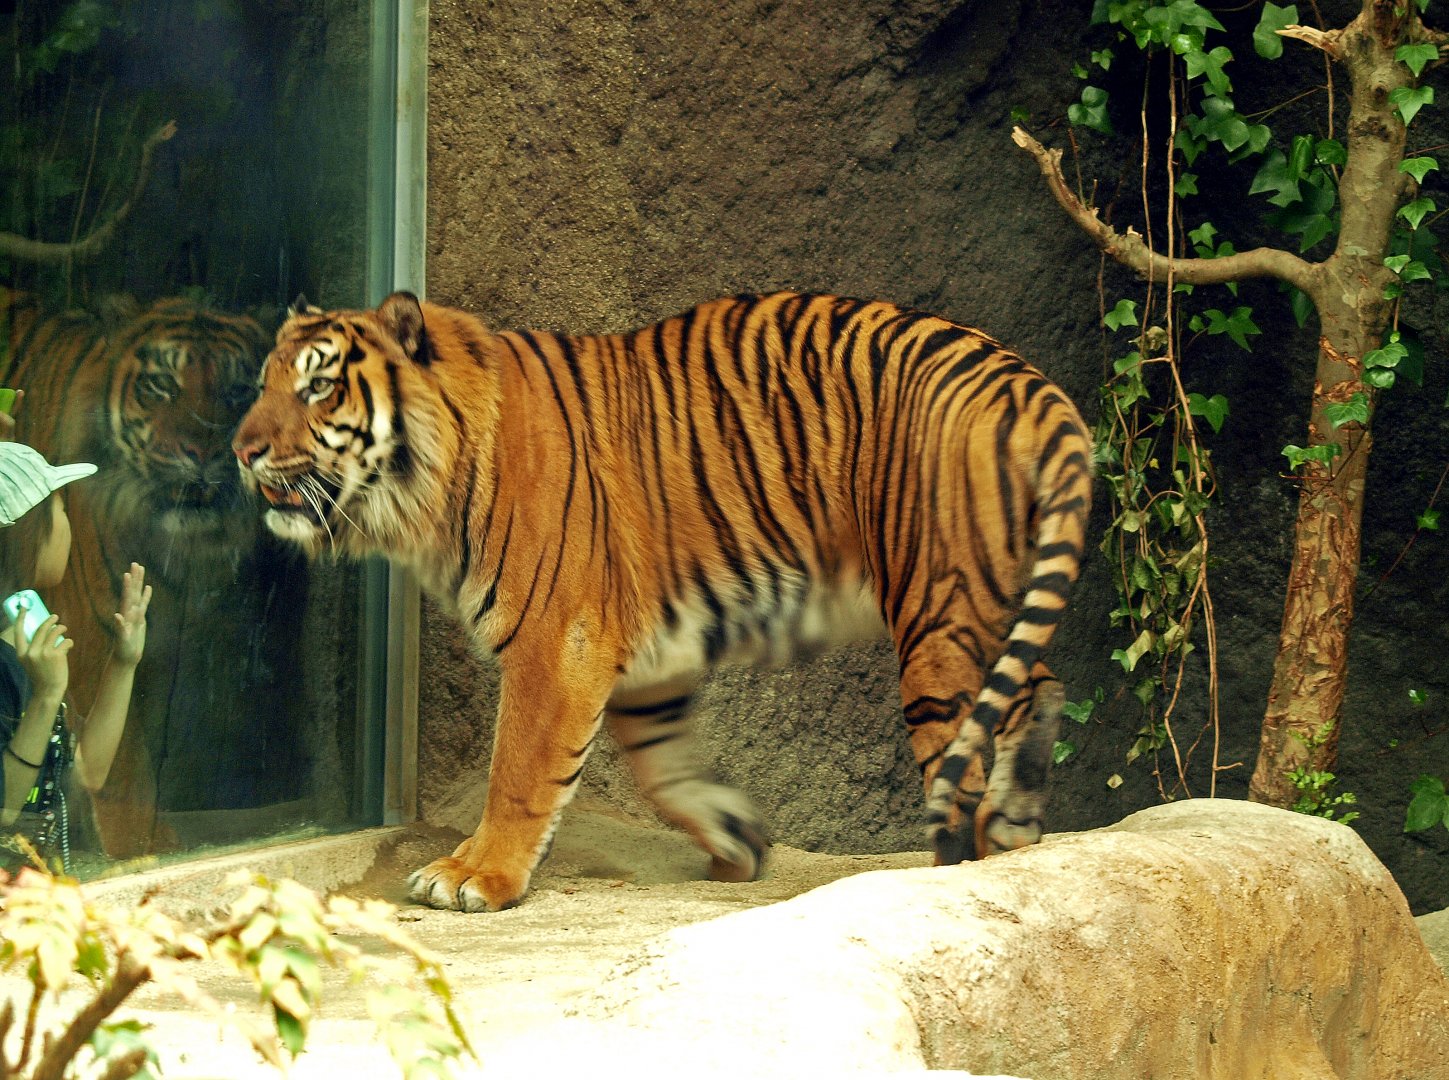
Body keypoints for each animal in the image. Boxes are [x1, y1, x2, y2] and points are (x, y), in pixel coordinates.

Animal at [0, 287, 274, 856]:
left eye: (238, 391)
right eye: (160, 386)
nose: (204, 452)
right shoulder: (84, 619)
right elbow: (124, 747)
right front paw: (138, 845)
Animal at [233, 289, 1093, 912]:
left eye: (318, 386)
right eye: (265, 385)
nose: (242, 450)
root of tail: (1026, 383)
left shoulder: (557, 641)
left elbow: (518, 770)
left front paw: (474, 876)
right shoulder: (642, 658)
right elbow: (662, 767)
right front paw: (737, 834)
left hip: (933, 612)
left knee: (966, 750)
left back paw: (957, 868)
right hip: (986, 605)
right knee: (1039, 690)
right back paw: (1017, 825)